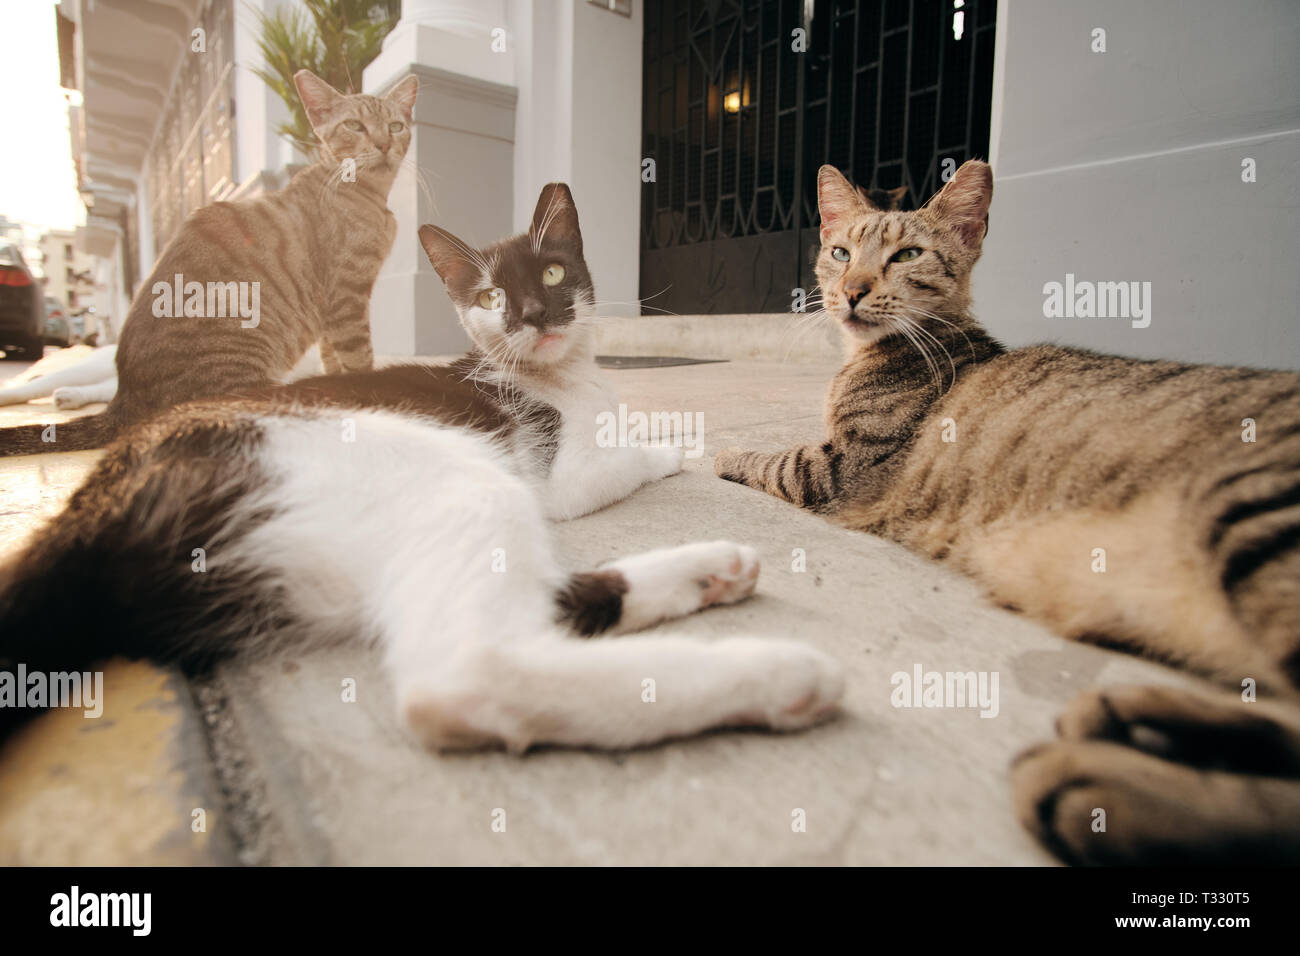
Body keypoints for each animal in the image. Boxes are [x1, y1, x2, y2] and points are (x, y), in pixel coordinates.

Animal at [0, 69, 416, 457]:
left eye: (396, 126)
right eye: (355, 126)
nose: (384, 143)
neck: (365, 196)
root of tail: (126, 400)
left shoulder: (332, 318)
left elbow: (335, 362)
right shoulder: (346, 301)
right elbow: (359, 360)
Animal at [0, 184, 842, 754]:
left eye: (554, 276)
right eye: (492, 295)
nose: (531, 316)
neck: (564, 377)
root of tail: (97, 498)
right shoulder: (560, 480)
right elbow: (624, 456)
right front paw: (669, 446)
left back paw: (711, 570)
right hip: (445, 473)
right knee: (469, 670)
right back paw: (778, 677)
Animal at [717, 160, 1300, 863]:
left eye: (906, 255)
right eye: (840, 253)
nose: (852, 291)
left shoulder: (836, 471)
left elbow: (771, 460)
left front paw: (719, 450)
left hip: (1260, 514)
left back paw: (1097, 787)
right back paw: (1127, 723)